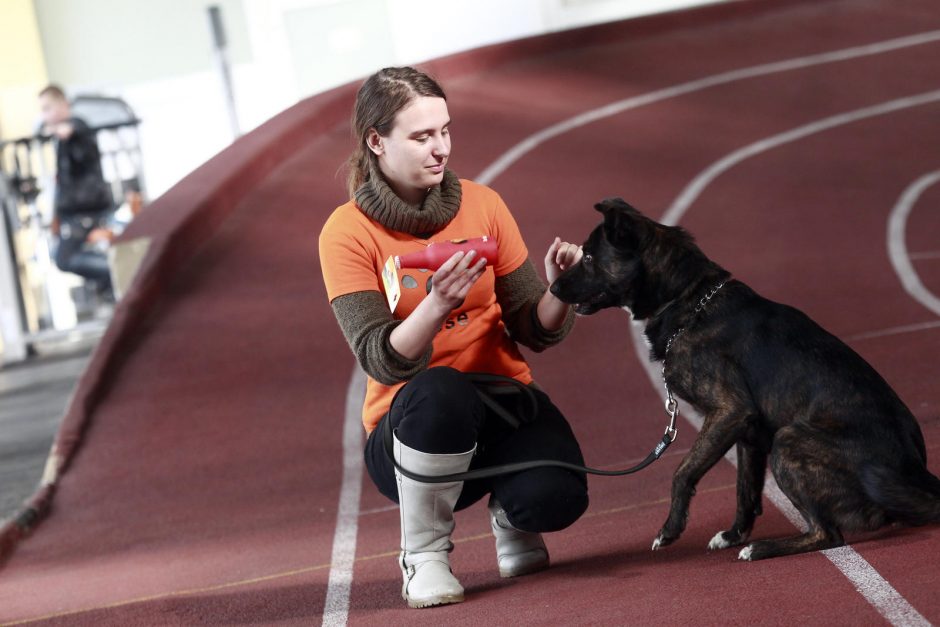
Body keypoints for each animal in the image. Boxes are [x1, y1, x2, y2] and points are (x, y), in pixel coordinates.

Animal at [552, 199, 940, 560]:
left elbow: (682, 471)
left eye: (588, 257)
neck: (689, 300)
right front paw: (733, 534)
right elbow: (746, 490)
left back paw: (763, 548)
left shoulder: (730, 411)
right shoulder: (749, 434)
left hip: (789, 441)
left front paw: (671, 528)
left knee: (828, 534)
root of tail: (913, 471)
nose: (553, 288)